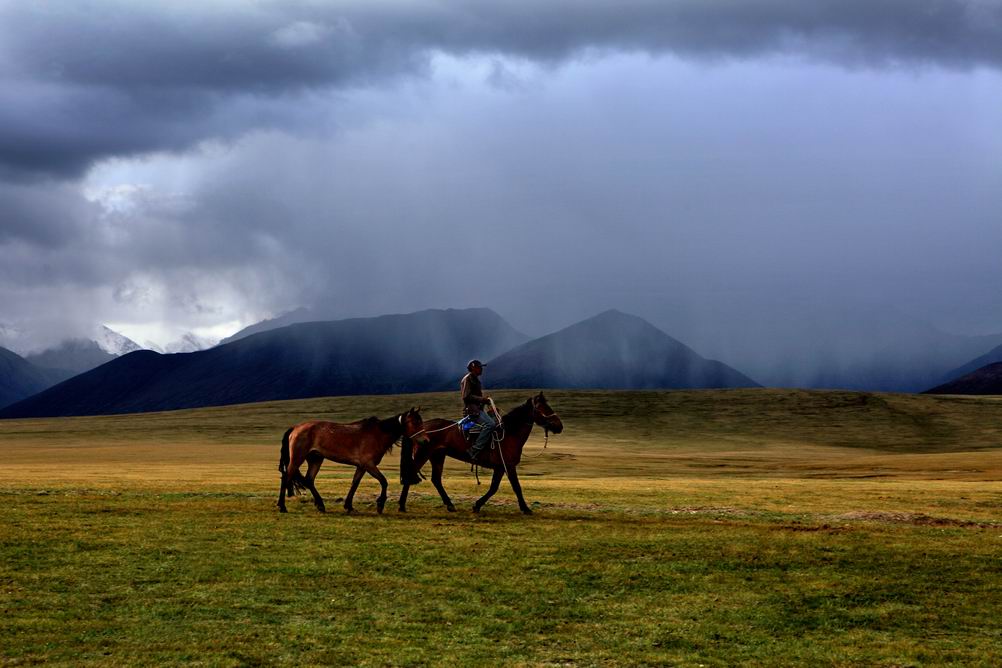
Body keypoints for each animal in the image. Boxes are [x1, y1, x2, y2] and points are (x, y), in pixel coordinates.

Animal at [276, 404, 428, 516]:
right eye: (415, 422)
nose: (426, 440)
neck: (378, 434)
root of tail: (295, 428)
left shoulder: (362, 466)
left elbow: (355, 483)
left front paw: (348, 506)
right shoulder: (369, 464)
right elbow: (384, 481)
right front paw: (380, 505)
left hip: (316, 459)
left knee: (309, 480)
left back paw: (320, 505)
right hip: (297, 458)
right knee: (286, 477)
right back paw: (282, 506)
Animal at [394, 394, 561, 516]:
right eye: (543, 408)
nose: (560, 426)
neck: (509, 433)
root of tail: (420, 430)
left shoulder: (500, 467)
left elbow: (494, 488)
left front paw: (477, 505)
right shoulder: (508, 466)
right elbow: (516, 487)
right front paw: (526, 509)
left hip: (438, 456)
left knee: (436, 479)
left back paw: (450, 505)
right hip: (423, 454)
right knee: (411, 474)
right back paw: (402, 505)